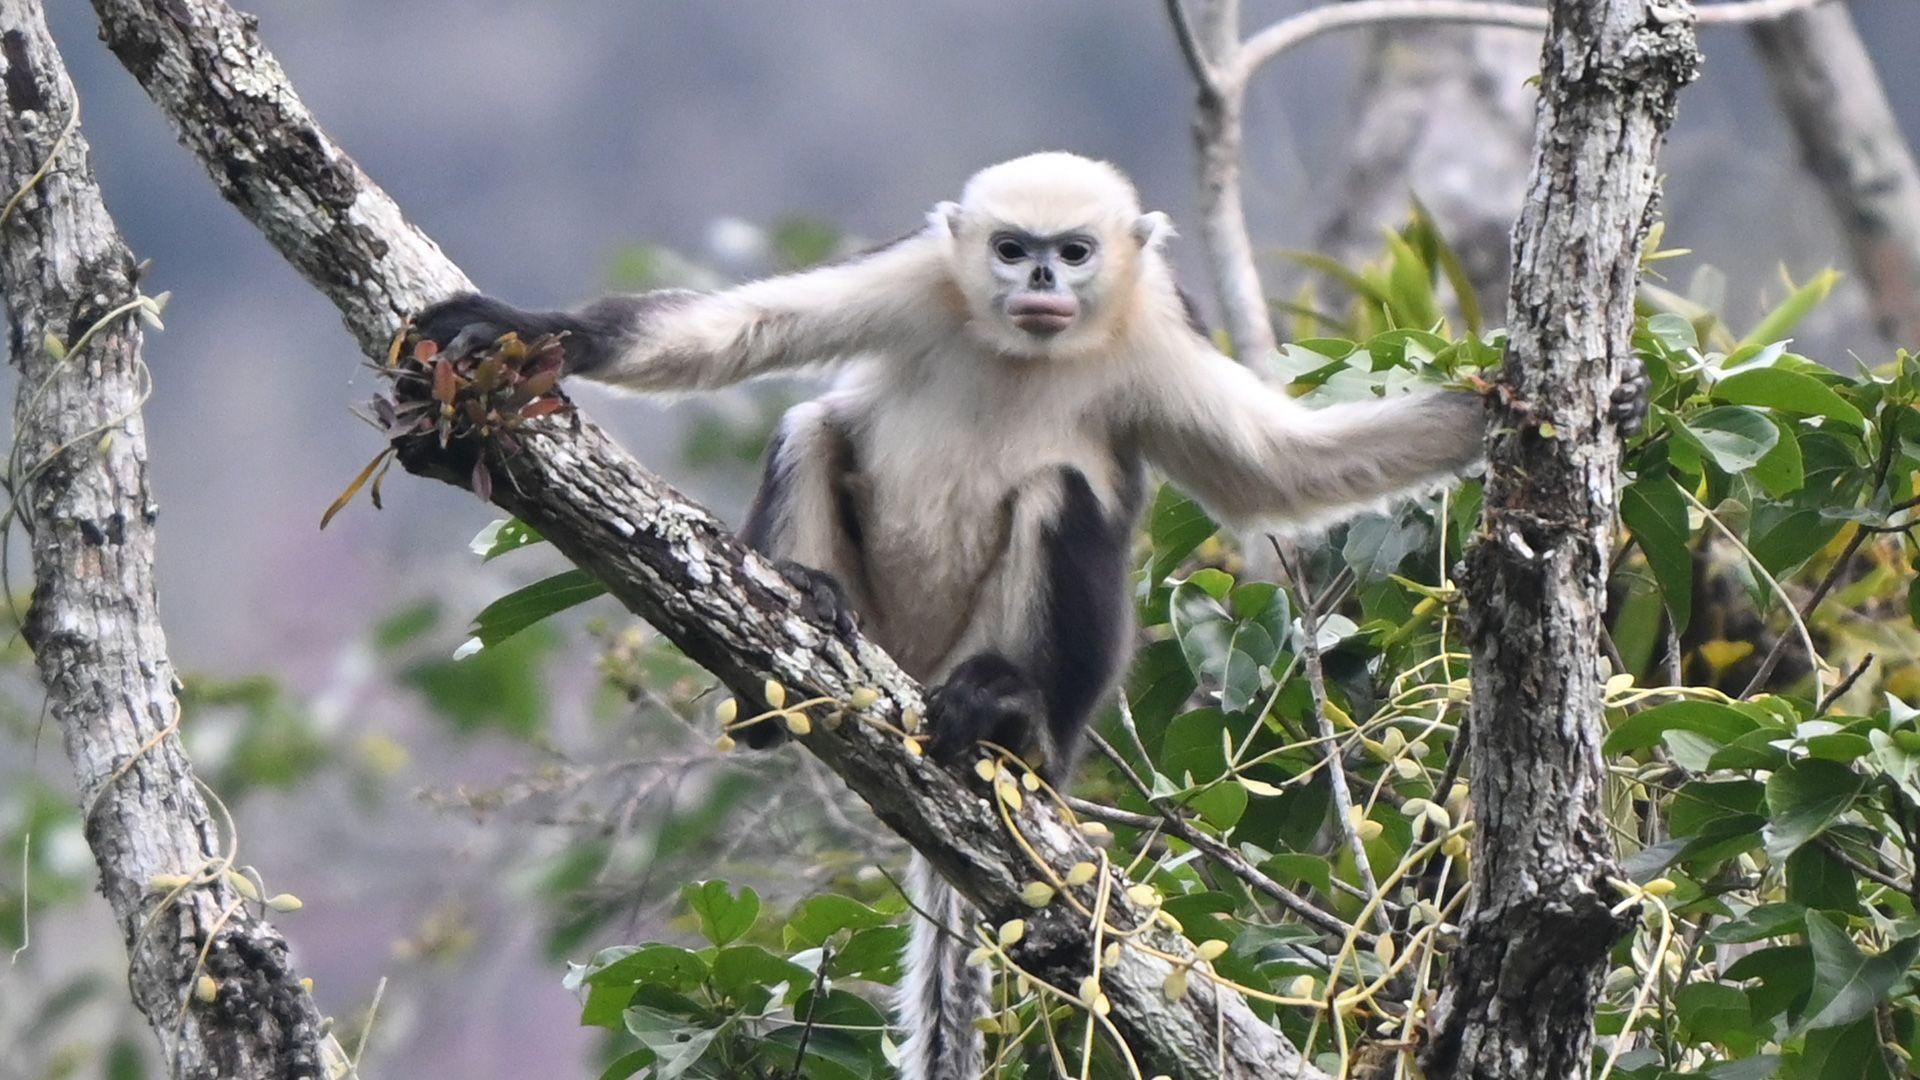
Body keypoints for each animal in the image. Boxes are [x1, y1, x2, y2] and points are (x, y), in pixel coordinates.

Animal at [414, 151, 1647, 1080]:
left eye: (1076, 251)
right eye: (1012, 248)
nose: (1042, 276)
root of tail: (917, 666)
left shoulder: (1156, 327)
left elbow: (1274, 472)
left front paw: (1574, 404)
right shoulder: (923, 274)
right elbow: (738, 332)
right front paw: (535, 330)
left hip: (1005, 661)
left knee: (1062, 497)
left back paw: (1011, 720)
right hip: (882, 618)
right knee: (816, 423)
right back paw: (792, 637)